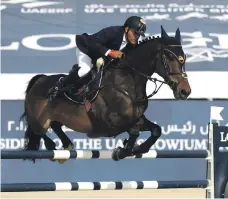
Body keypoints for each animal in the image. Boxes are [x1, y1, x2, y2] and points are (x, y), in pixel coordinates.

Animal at [20, 26, 191, 163]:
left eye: (184, 57)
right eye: (169, 57)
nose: (185, 91)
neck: (127, 83)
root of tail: (40, 79)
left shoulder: (138, 118)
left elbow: (156, 130)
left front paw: (136, 148)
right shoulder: (109, 123)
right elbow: (133, 130)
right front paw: (123, 150)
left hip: (57, 118)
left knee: (54, 126)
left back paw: (67, 145)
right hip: (39, 120)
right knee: (37, 130)